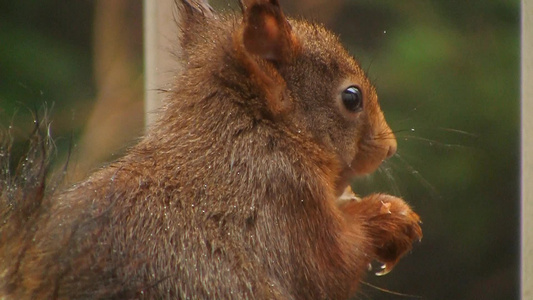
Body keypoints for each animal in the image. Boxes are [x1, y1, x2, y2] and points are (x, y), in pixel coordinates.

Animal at [1, 0, 424, 298]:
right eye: (352, 98)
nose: (390, 148)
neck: (251, 130)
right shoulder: (286, 198)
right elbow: (335, 263)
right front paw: (392, 216)